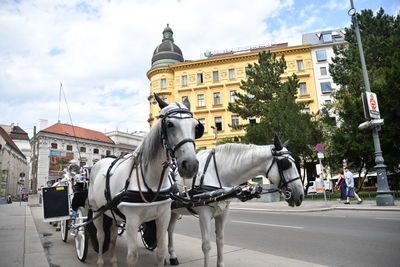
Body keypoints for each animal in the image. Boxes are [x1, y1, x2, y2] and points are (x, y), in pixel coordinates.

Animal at [89, 94, 205, 267]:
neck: (151, 180)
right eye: (169, 124)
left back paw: (114, 260)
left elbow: (161, 252)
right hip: (97, 211)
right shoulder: (131, 221)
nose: (190, 165)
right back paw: (101, 261)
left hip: (113, 213)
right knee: (101, 236)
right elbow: (132, 257)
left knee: (113, 236)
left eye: (195, 126)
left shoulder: (163, 217)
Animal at [167, 137, 304, 266]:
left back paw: (172, 255)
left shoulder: (222, 213)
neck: (215, 173)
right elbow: (206, 246)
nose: (301, 195)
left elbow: (220, 241)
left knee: (170, 229)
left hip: (174, 211)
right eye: (286, 163)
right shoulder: (203, 215)